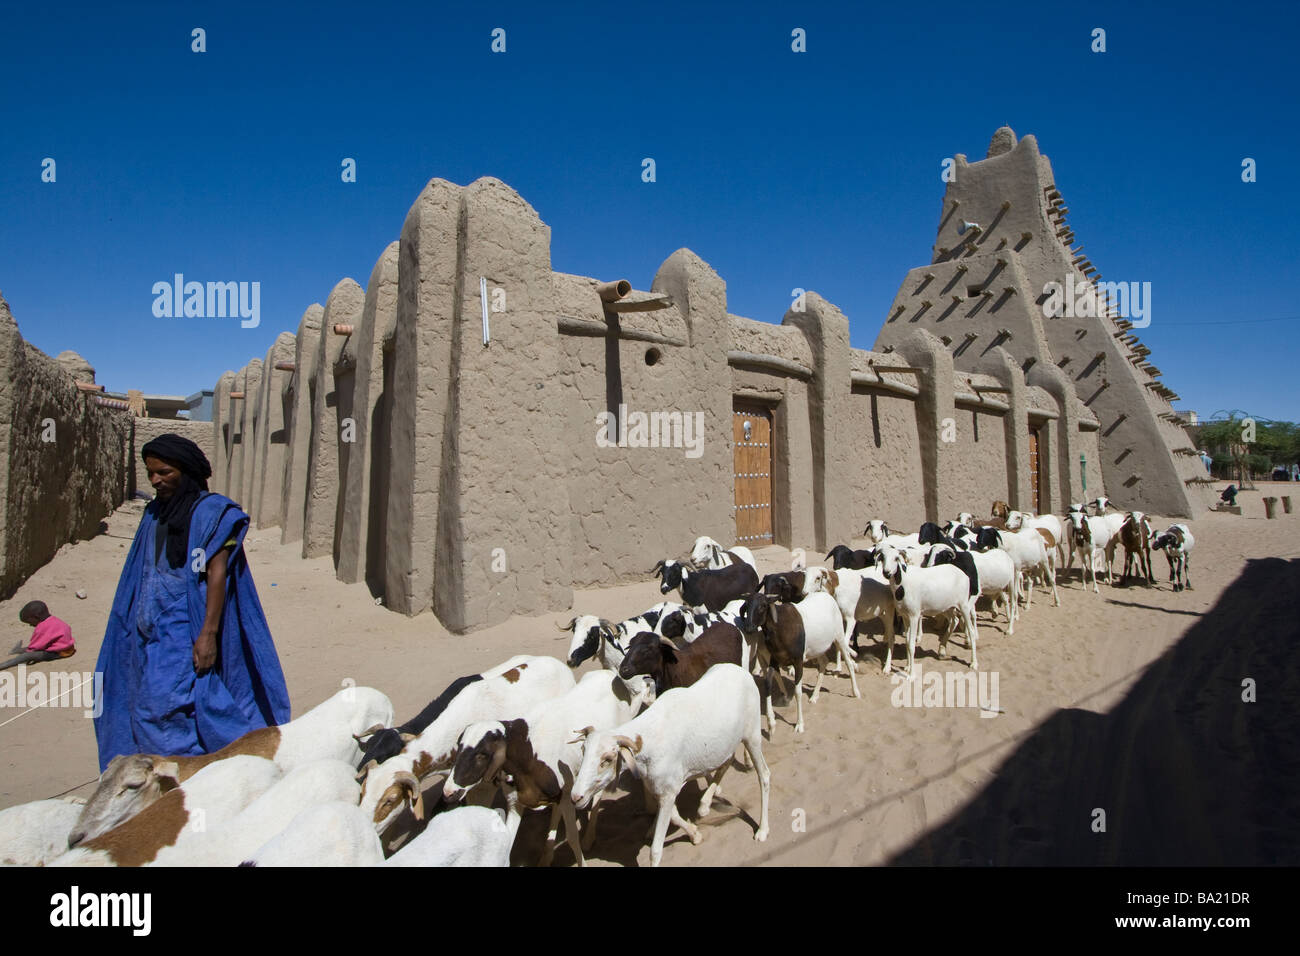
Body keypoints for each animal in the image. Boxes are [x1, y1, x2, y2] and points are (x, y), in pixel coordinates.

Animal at [572, 660, 769, 868]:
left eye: (607, 759)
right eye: (583, 750)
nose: (576, 797)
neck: (651, 737)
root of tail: (741, 672)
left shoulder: (668, 791)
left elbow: (656, 850)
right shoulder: (664, 788)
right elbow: (674, 815)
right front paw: (695, 834)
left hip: (752, 736)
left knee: (764, 775)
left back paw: (762, 830)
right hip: (727, 743)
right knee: (727, 762)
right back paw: (704, 805)